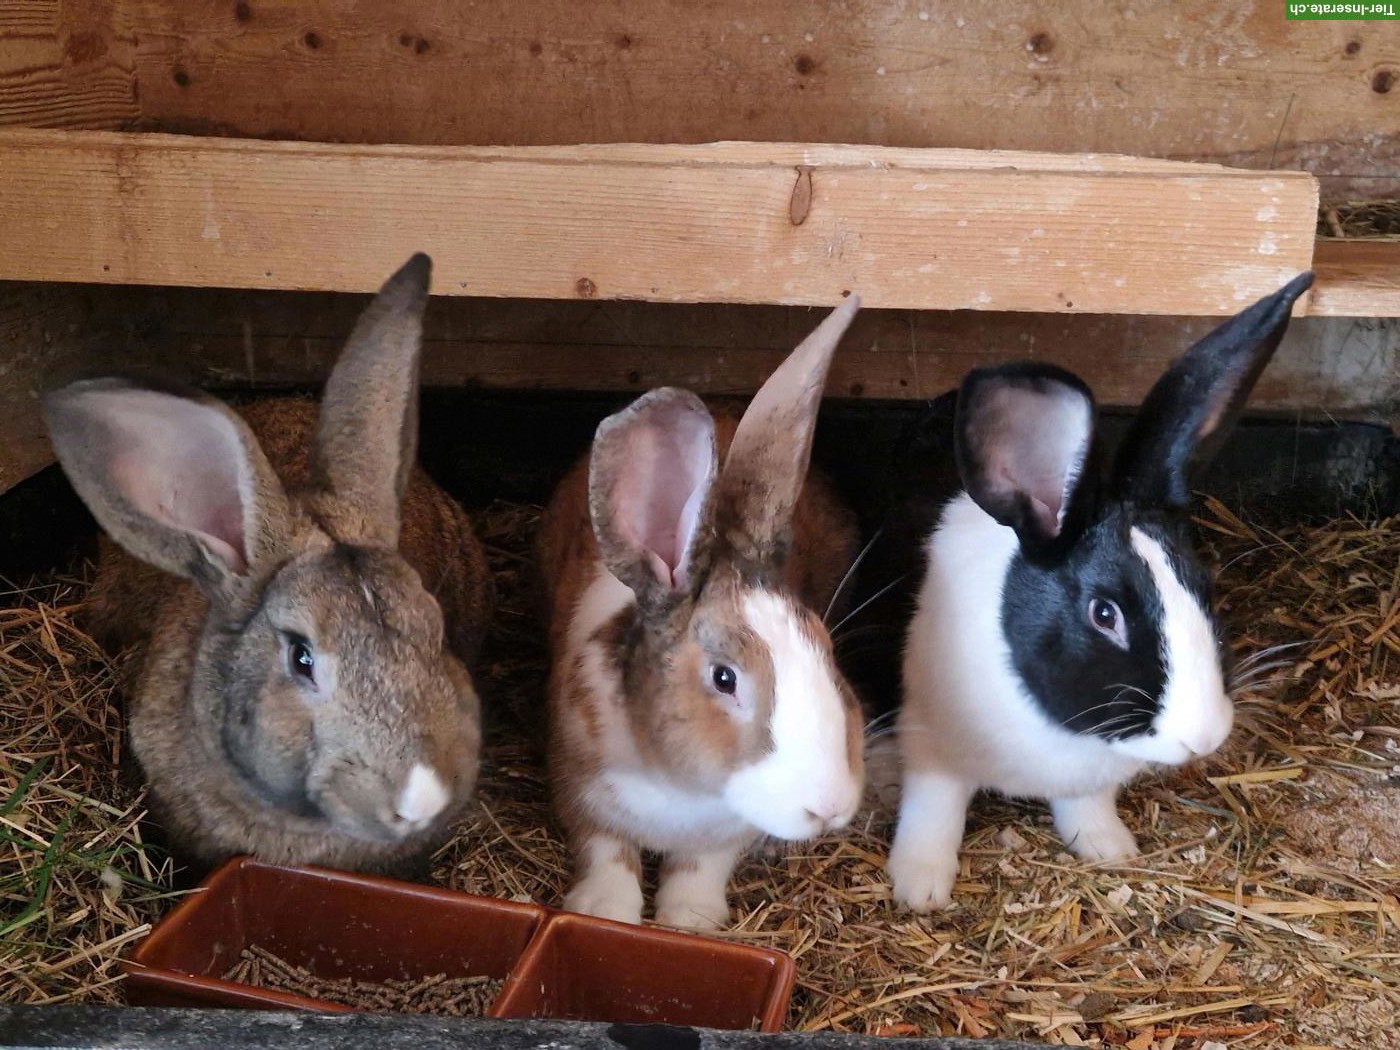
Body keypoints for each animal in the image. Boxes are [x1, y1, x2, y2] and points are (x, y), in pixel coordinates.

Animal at [535, 298, 868, 929]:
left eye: (830, 652)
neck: (680, 786)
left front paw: (688, 920)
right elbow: (605, 852)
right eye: (724, 678)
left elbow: (699, 869)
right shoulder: (578, 786)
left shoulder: (721, 835)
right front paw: (608, 911)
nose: (831, 806)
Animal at [886, 271, 1314, 912]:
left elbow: (1084, 807)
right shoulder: (929, 745)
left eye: (1205, 587)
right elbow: (932, 810)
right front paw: (919, 887)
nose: (1203, 737)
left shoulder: (1086, 783)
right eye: (1104, 613)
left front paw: (1110, 849)